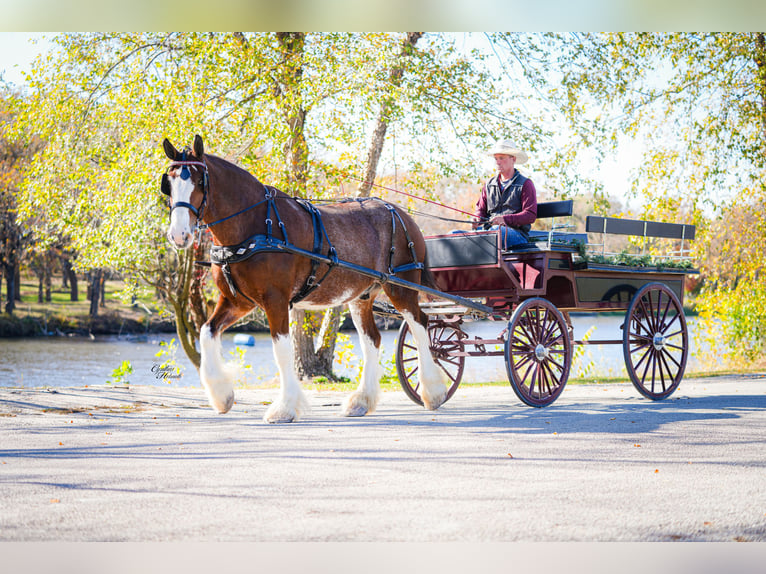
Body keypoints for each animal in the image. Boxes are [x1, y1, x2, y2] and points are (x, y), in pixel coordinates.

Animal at [160, 135, 448, 423]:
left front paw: (284, 408)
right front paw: (222, 396)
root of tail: (402, 213)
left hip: (401, 288)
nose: (178, 235)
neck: (255, 226)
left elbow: (282, 351)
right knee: (372, 340)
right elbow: (206, 332)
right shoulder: (238, 301)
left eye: (199, 182)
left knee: (420, 325)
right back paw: (362, 401)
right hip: (362, 296)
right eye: (169, 184)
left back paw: (433, 392)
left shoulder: (275, 300)